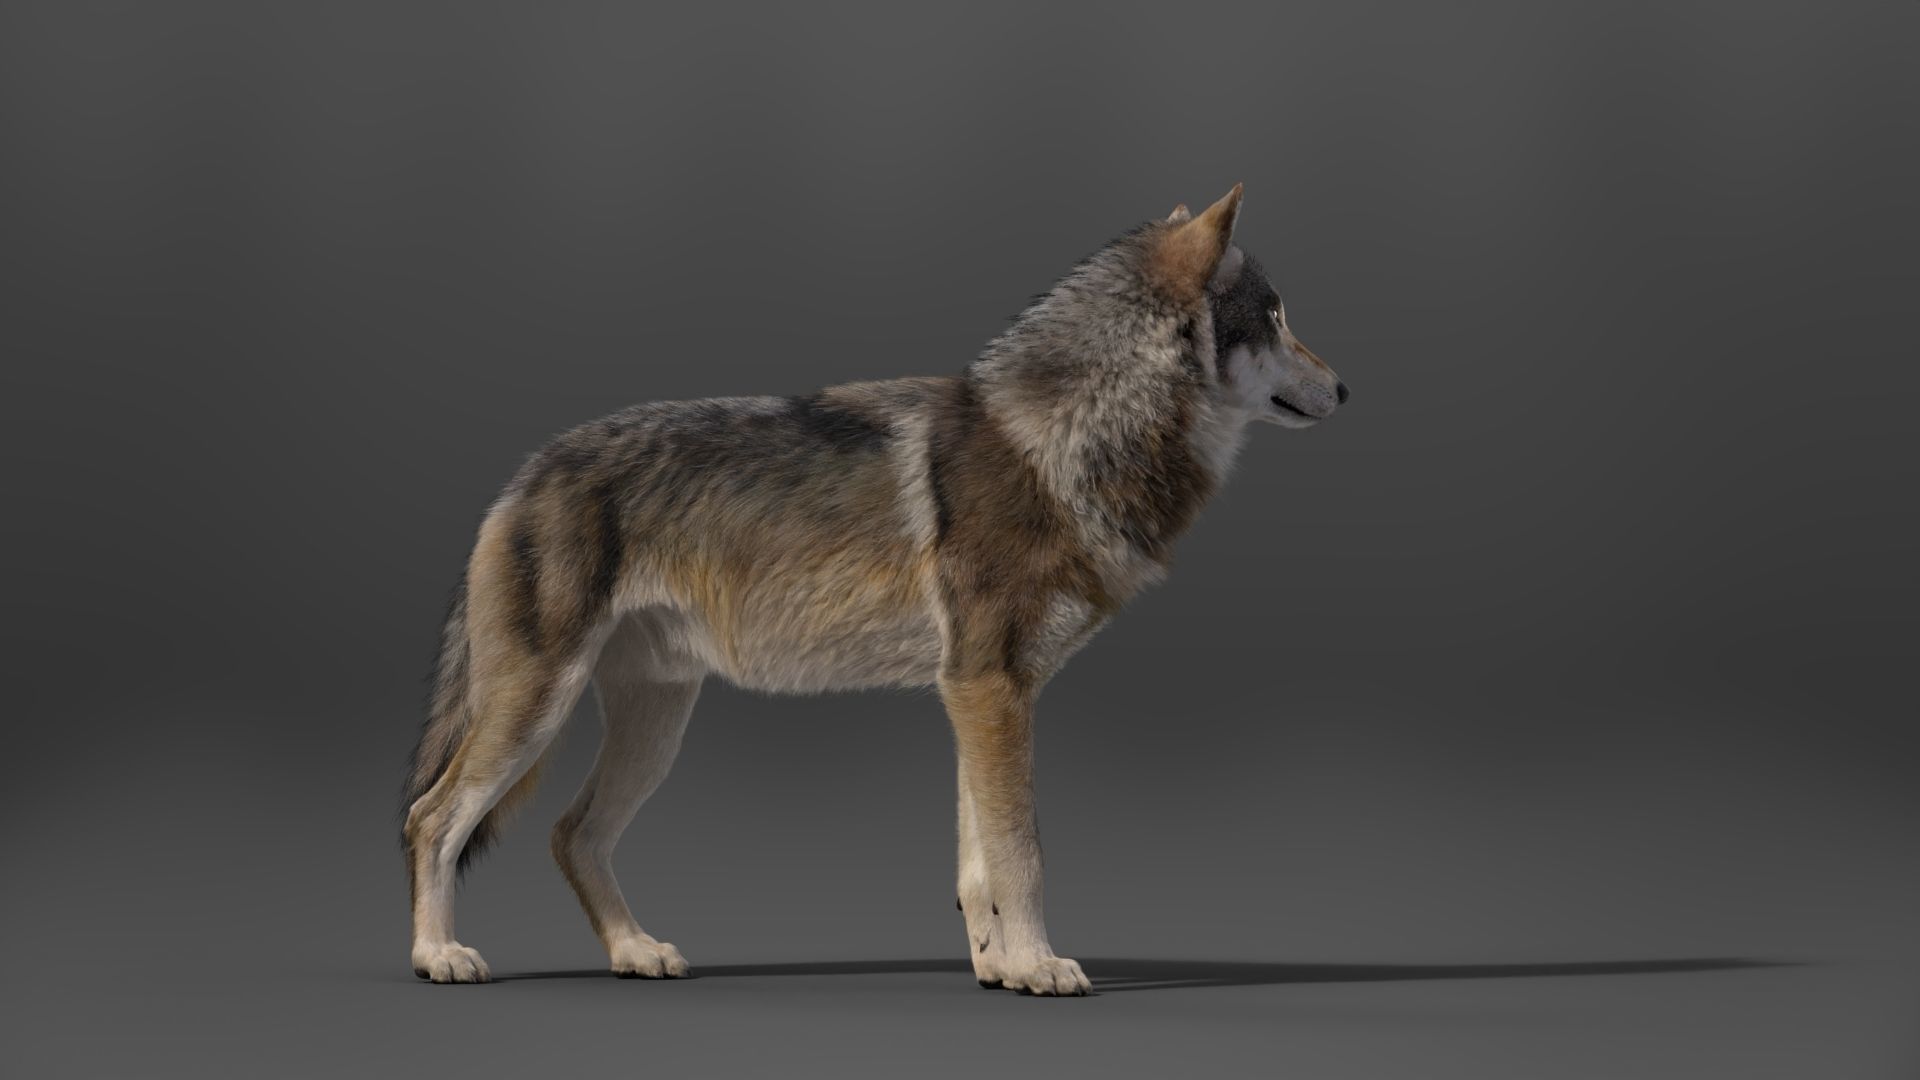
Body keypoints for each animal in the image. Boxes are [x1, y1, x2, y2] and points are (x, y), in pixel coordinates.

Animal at [400, 185, 1348, 994]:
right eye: (1274, 316)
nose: (1346, 387)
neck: (1068, 439)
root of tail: (524, 473)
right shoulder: (988, 690)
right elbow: (1022, 854)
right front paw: (1042, 966)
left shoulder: (977, 693)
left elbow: (980, 864)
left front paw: (1002, 969)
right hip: (538, 709)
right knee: (431, 817)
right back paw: (438, 955)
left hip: (653, 728)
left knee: (571, 833)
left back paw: (635, 951)